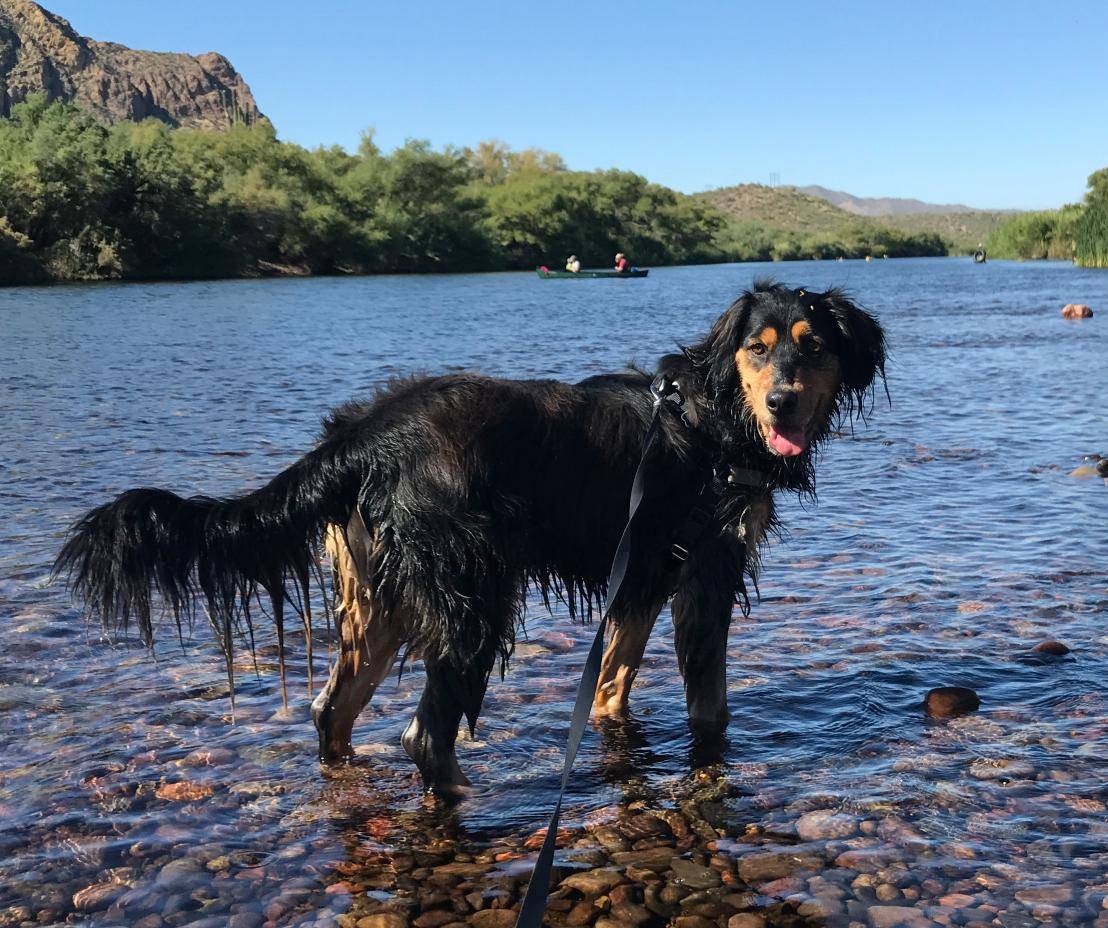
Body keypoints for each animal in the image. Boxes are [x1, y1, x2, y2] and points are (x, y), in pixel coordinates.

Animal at [56, 280, 886, 797]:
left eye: (813, 346)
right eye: (759, 347)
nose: (782, 402)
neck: (714, 417)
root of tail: (364, 436)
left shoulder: (644, 579)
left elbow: (610, 687)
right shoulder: (704, 573)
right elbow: (710, 708)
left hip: (381, 600)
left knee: (331, 710)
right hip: (471, 592)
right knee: (424, 735)